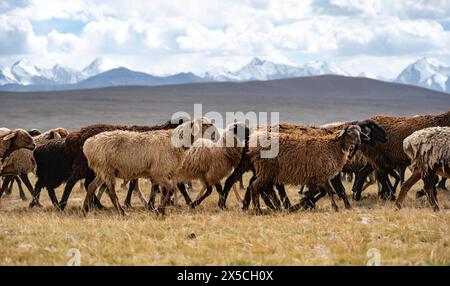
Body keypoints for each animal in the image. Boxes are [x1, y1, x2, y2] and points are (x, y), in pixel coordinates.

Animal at [83, 116, 220, 214]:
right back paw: (122, 212)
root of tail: (88, 144)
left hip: (102, 170)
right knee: (110, 191)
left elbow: (164, 191)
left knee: (91, 186)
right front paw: (159, 209)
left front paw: (160, 210)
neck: (175, 141)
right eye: (205, 125)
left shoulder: (165, 173)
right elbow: (170, 189)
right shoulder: (158, 172)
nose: (217, 135)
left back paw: (84, 210)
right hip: (106, 168)